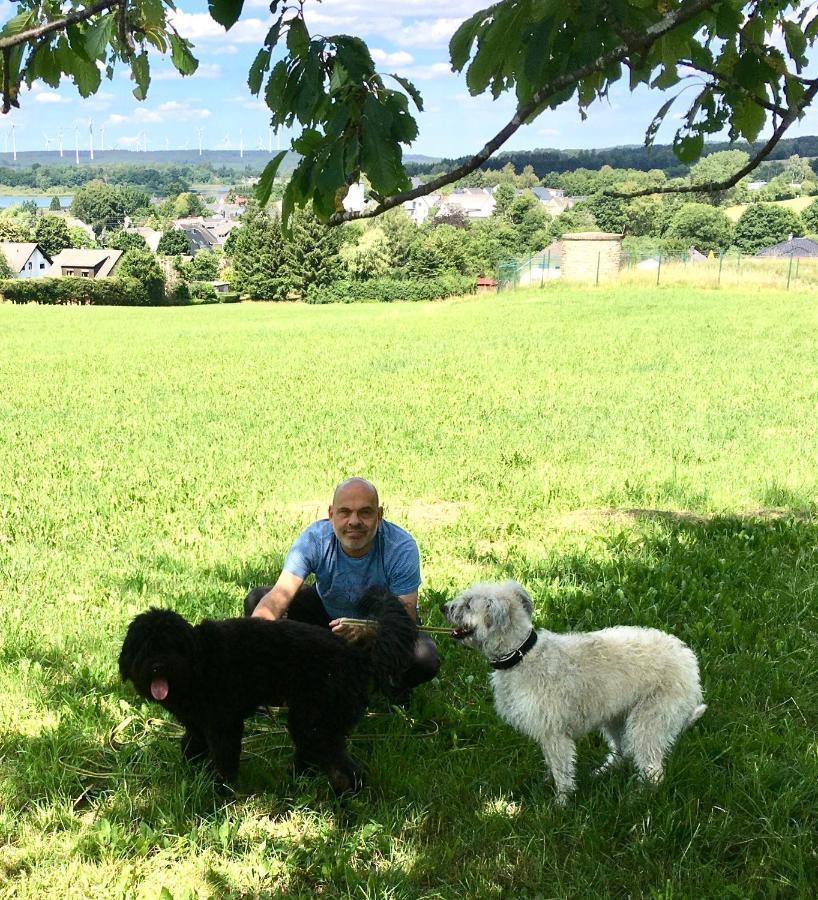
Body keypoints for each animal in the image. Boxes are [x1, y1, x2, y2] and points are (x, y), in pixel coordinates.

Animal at [116, 592, 414, 796]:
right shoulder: (197, 725)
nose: (158, 666)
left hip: (318, 722)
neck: (198, 661)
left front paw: (219, 789)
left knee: (346, 771)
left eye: (171, 644)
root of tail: (358, 657)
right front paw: (191, 775)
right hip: (310, 720)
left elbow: (223, 757)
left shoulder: (224, 724)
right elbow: (190, 747)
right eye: (145, 646)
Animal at [444, 580, 704, 804]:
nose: (443, 607)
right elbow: (551, 763)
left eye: (468, 604)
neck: (521, 654)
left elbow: (561, 768)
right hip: (616, 716)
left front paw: (561, 802)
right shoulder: (546, 731)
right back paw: (603, 772)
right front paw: (546, 784)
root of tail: (689, 662)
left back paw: (639, 797)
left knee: (653, 769)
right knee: (623, 751)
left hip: (649, 720)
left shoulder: (554, 733)